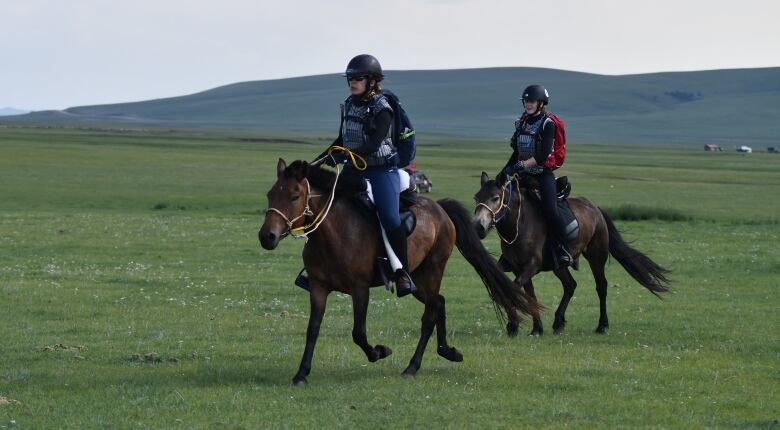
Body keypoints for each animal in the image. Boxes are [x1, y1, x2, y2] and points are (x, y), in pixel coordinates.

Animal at [258, 160, 540, 386]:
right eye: (270, 194)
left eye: (294, 196)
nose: (266, 237)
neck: (335, 232)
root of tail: (440, 209)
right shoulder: (318, 287)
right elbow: (313, 329)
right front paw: (301, 374)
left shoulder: (359, 289)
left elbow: (358, 333)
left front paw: (379, 352)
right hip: (419, 281)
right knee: (439, 303)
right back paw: (447, 351)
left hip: (431, 272)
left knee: (430, 313)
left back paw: (412, 367)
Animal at [470, 171, 672, 336]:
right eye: (476, 197)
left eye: (496, 197)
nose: (478, 227)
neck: (520, 224)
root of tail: (596, 208)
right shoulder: (518, 267)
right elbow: (527, 293)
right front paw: (536, 329)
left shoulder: (532, 265)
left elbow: (514, 288)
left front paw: (513, 325)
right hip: (559, 265)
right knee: (570, 285)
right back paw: (558, 323)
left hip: (596, 257)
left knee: (601, 286)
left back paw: (602, 326)